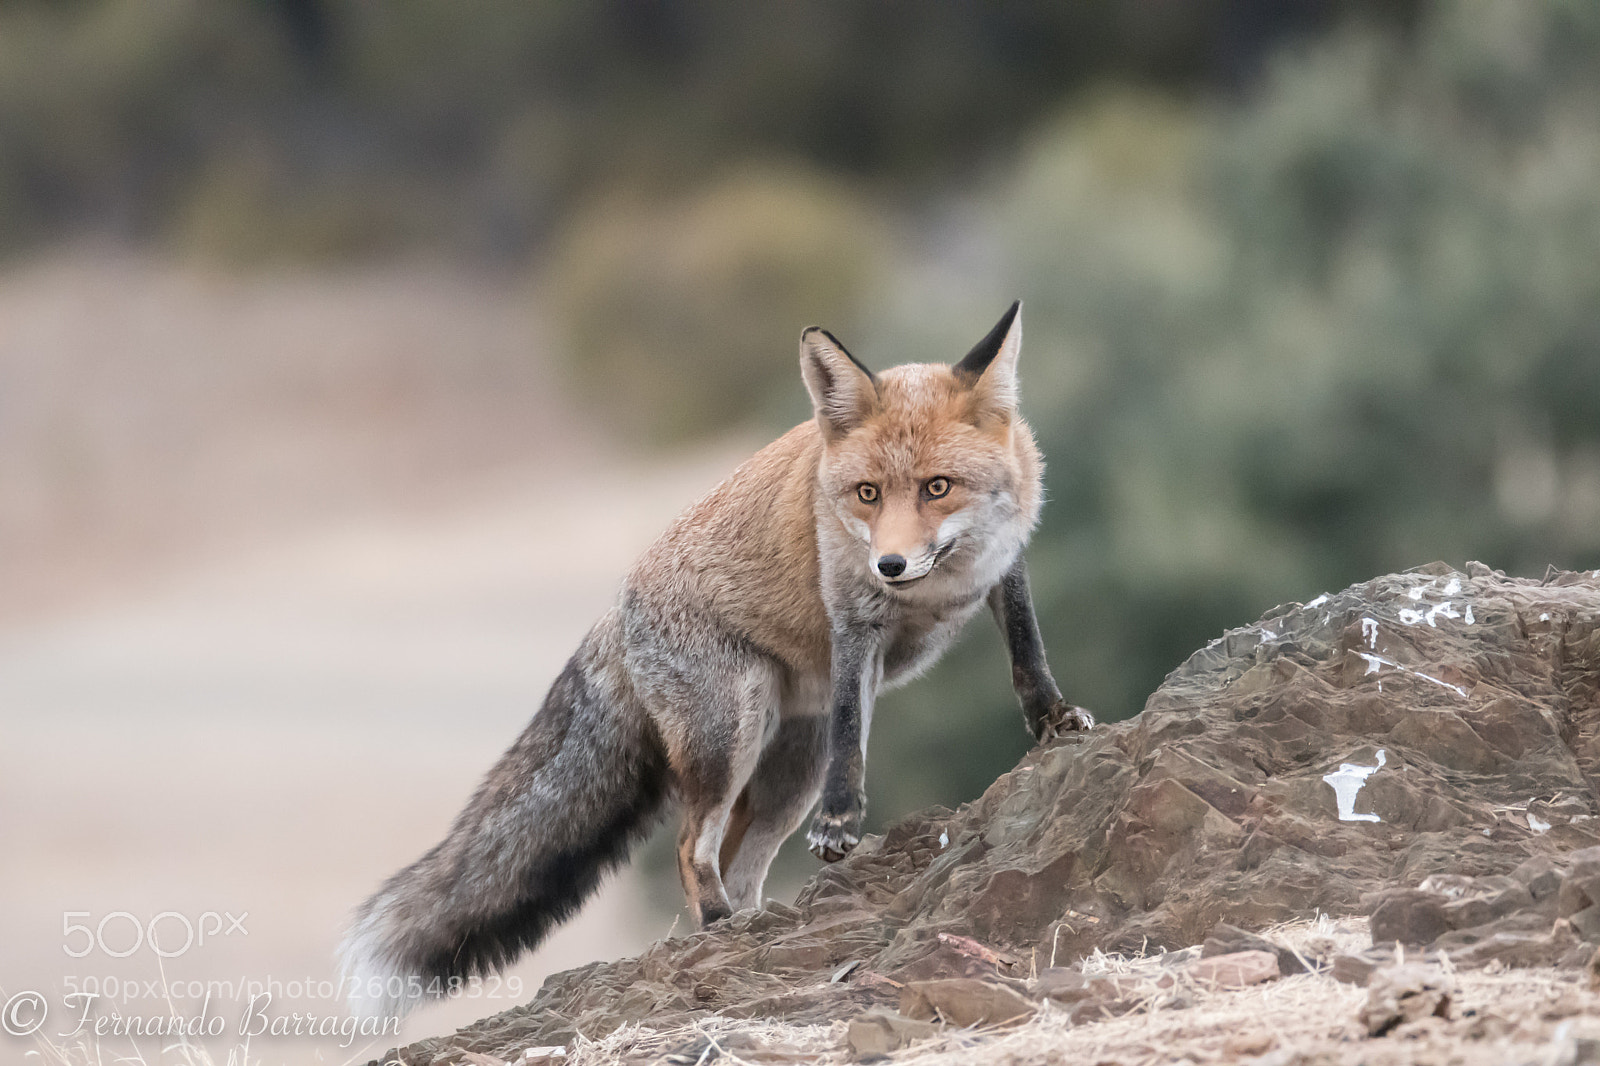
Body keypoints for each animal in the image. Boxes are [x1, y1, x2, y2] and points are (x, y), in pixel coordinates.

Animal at [341, 301, 1092, 1016]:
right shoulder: (853, 617)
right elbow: (854, 734)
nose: (890, 563)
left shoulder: (1006, 567)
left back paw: (754, 926)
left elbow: (1027, 650)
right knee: (691, 848)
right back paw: (720, 924)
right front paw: (843, 818)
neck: (942, 583)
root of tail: (616, 610)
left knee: (737, 860)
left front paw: (1053, 719)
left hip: (787, 771)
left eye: (938, 487)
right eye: (868, 494)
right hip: (731, 734)